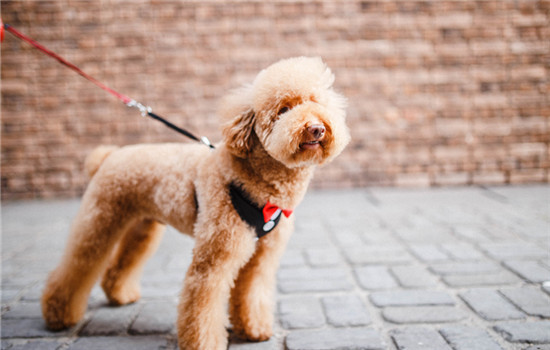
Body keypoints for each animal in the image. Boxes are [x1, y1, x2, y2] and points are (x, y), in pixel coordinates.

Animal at [41, 56, 352, 348]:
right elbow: (203, 304)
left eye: (315, 102)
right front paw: (205, 343)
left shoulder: (261, 255)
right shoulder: (215, 255)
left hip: (142, 226)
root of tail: (108, 156)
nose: (316, 128)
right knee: (79, 263)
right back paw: (58, 315)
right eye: (283, 110)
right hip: (100, 219)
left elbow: (251, 292)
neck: (259, 182)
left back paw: (120, 294)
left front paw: (254, 329)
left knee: (121, 262)